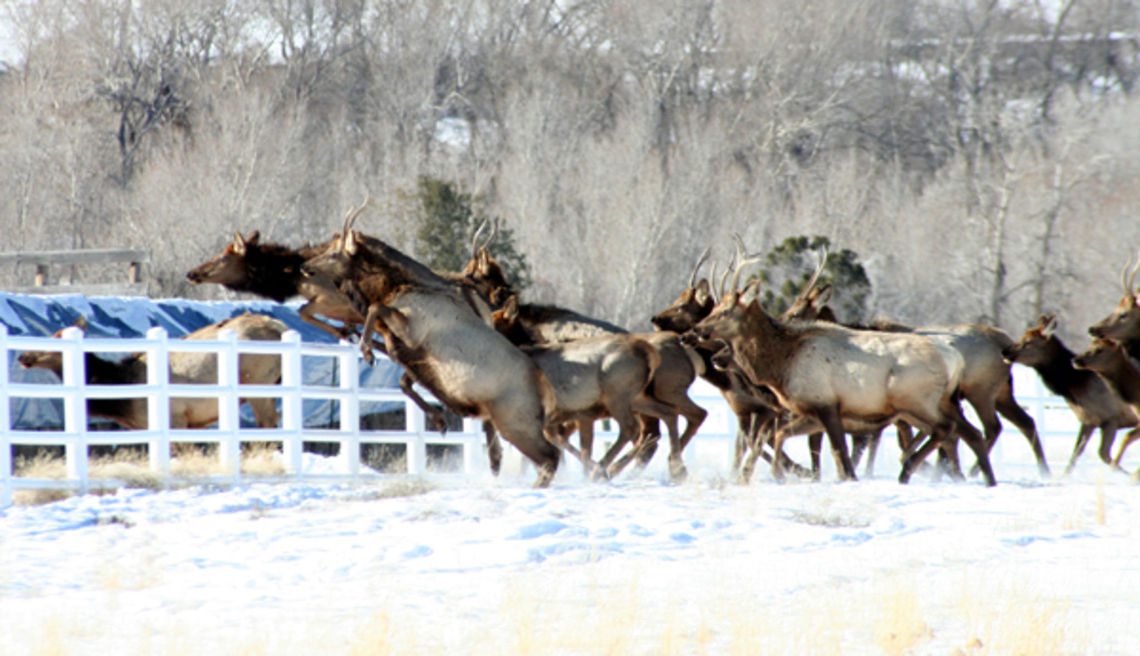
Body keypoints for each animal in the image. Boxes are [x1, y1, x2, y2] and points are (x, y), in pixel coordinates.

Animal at [17, 314, 285, 429]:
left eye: (57, 337)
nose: (22, 356)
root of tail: (278, 325)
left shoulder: (176, 417)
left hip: (258, 383)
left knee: (268, 421)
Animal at [299, 205, 562, 487]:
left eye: (334, 252)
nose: (304, 266)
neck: (398, 285)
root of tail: (547, 389)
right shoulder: (403, 348)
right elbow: (399, 371)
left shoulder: (413, 333)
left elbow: (375, 309)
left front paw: (366, 350)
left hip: (515, 422)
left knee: (550, 455)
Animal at [1002, 314, 1140, 474]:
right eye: (1022, 336)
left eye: (1028, 341)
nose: (1005, 351)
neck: (1073, 387)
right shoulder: (1088, 421)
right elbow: (1075, 455)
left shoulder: (1111, 418)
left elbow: (1103, 454)